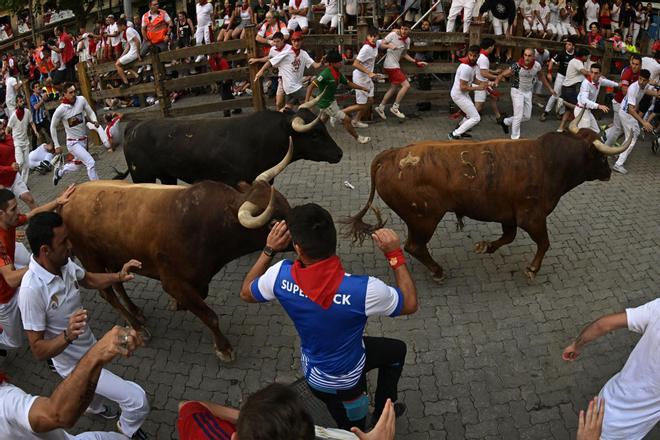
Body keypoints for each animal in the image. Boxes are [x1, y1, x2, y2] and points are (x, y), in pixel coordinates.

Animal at [61, 144, 294, 360]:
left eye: (286, 204)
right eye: (273, 222)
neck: (208, 225)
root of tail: (69, 199)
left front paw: (177, 304)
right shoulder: (173, 281)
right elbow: (209, 315)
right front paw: (224, 348)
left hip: (110, 255)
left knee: (116, 282)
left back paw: (136, 312)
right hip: (89, 257)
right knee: (107, 292)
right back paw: (138, 328)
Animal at [346, 111, 628, 280]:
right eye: (601, 156)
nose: (608, 172)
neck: (549, 160)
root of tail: (392, 154)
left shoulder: (509, 214)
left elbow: (508, 236)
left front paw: (485, 246)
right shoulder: (532, 217)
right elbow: (544, 243)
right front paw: (532, 268)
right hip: (423, 218)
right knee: (414, 246)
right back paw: (438, 271)